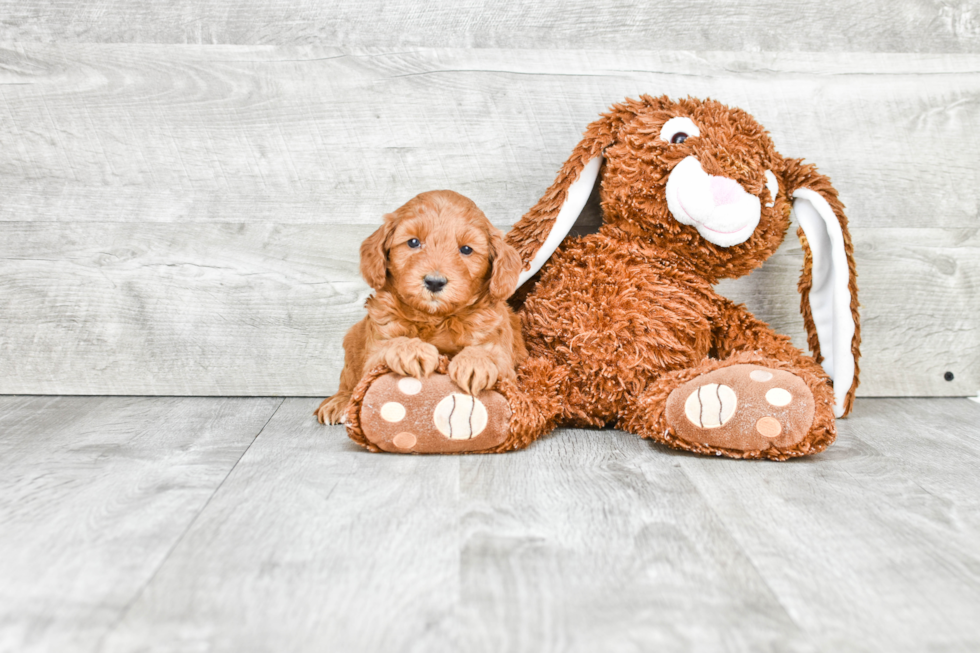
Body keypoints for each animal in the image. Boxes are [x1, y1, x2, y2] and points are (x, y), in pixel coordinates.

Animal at [318, 190, 524, 422]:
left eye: (466, 249)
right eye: (413, 242)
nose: (434, 282)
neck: (435, 317)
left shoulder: (503, 355)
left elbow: (491, 354)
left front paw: (476, 362)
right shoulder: (376, 348)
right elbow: (389, 345)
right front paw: (411, 350)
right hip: (353, 340)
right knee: (349, 382)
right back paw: (339, 402)